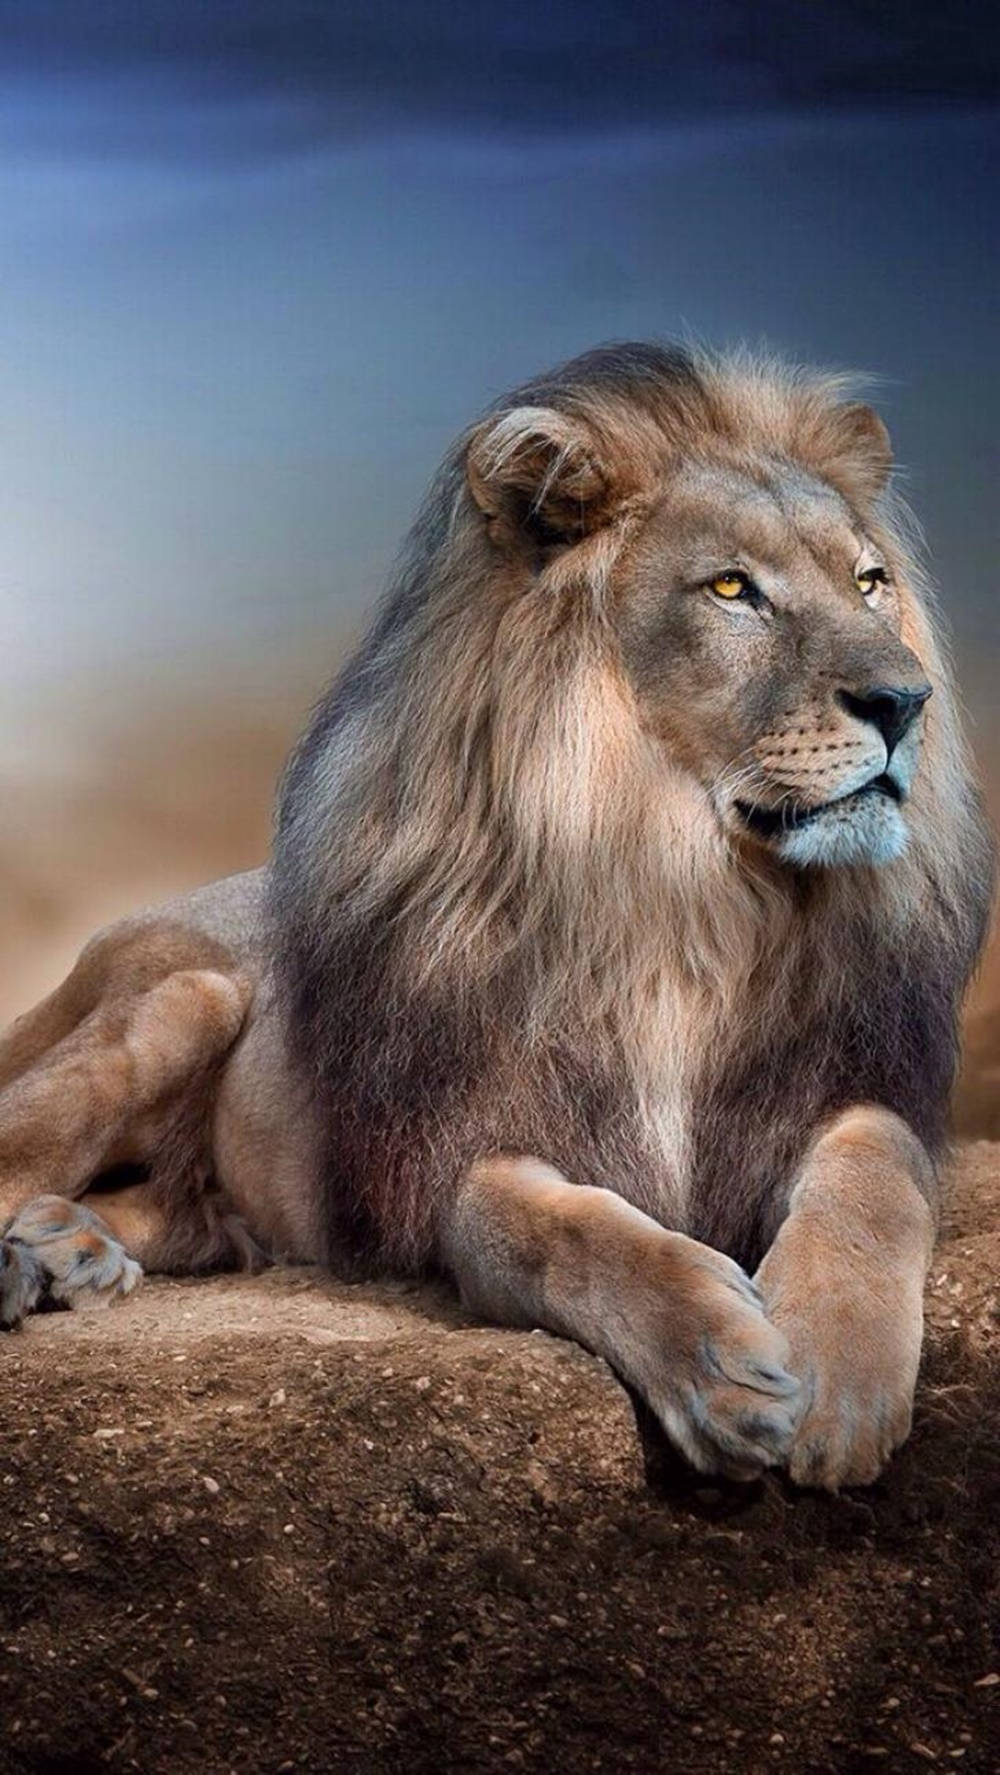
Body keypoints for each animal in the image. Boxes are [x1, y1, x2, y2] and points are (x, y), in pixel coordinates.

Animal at [0, 343, 993, 1490]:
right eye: (733, 588)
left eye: (870, 581)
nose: (905, 701)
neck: (688, 900)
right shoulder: (467, 1149)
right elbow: (559, 1229)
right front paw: (722, 1365)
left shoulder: (843, 1081)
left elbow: (877, 1169)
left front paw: (837, 1369)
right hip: (186, 995)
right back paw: (28, 1260)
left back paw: (72, 1247)